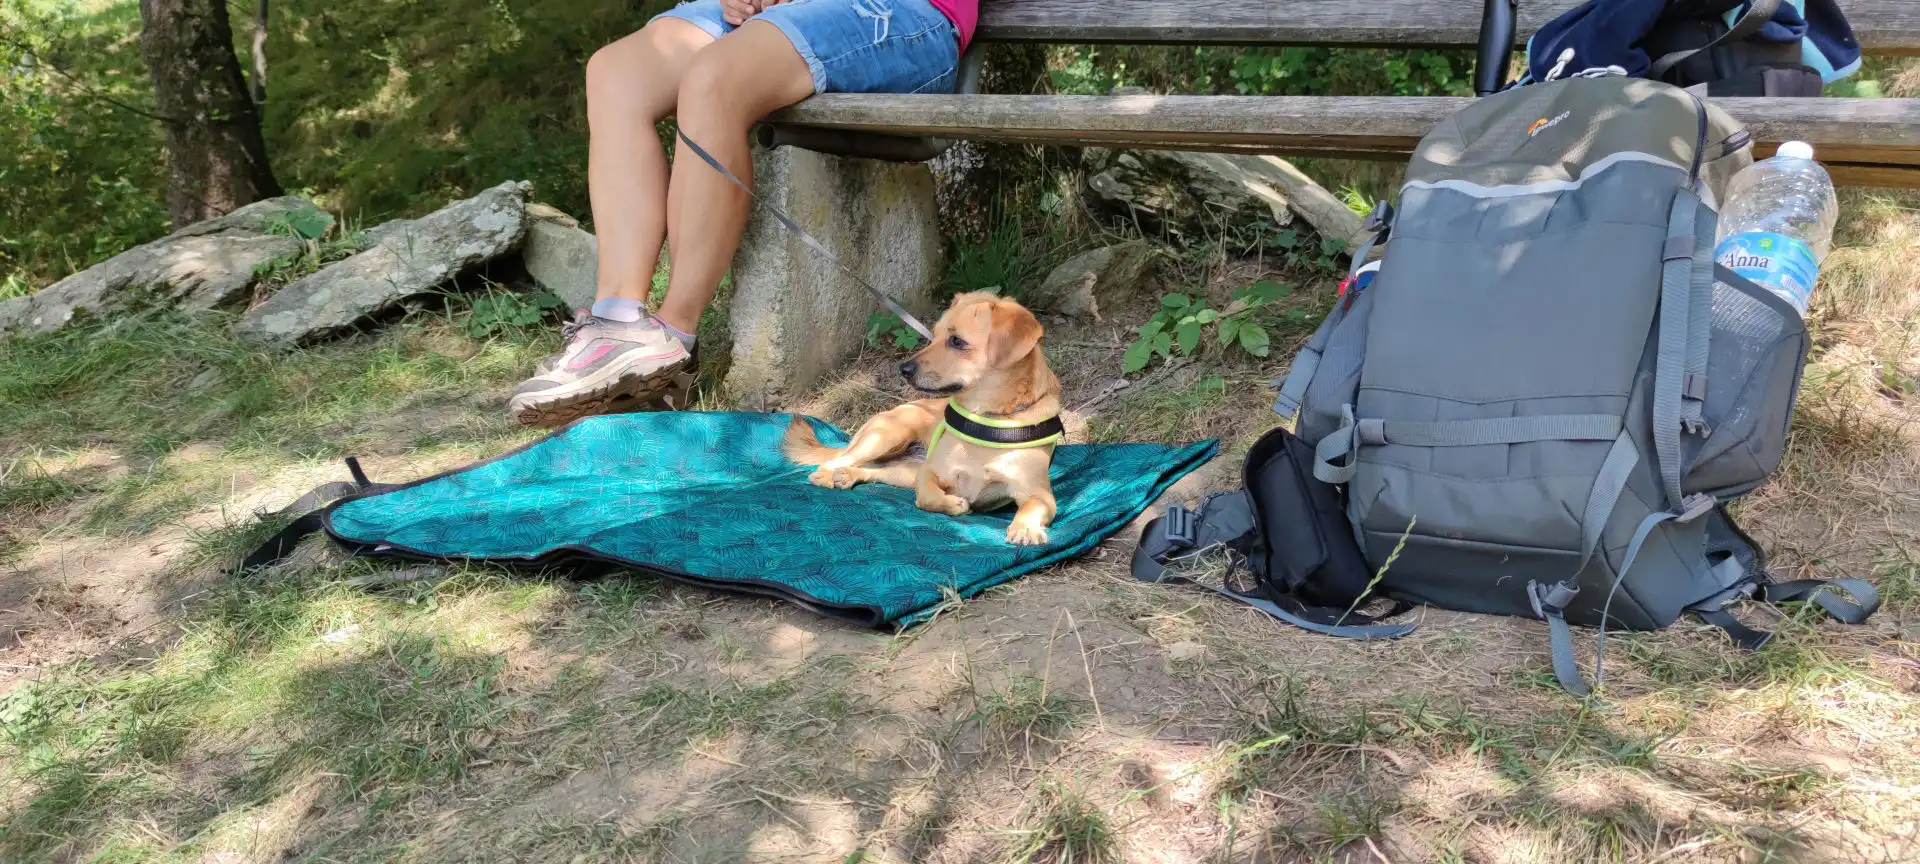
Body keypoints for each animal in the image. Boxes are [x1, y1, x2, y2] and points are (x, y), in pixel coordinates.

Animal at [783, 293, 1067, 545]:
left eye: (957, 341)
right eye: (934, 336)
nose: (903, 369)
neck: (984, 421)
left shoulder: (1039, 494)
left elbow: (1031, 506)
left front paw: (1025, 528)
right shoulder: (928, 472)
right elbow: (928, 497)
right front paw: (953, 503)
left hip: (903, 470)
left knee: (873, 470)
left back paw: (849, 476)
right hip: (886, 436)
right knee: (838, 460)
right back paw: (827, 475)